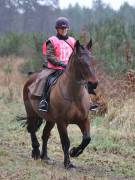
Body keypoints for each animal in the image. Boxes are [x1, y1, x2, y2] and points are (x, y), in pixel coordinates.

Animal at [22, 39, 97, 169]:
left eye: (92, 60)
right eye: (81, 62)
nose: (94, 84)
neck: (74, 95)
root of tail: (31, 77)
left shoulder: (83, 119)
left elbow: (87, 138)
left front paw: (74, 152)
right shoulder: (62, 122)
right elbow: (66, 141)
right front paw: (68, 163)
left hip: (50, 120)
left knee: (45, 134)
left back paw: (45, 157)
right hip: (31, 112)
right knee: (32, 129)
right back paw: (36, 152)